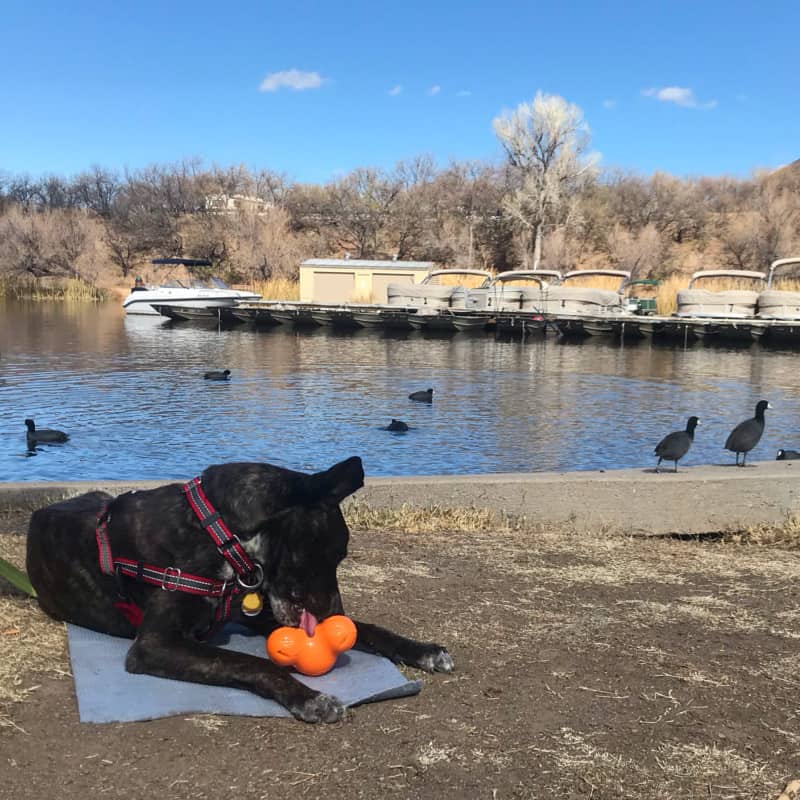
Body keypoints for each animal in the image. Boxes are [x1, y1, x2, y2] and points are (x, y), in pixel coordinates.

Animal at [25, 456, 454, 724]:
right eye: (335, 552)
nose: (334, 616)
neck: (219, 532)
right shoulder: (154, 644)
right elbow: (250, 663)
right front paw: (309, 698)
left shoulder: (262, 611)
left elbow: (371, 629)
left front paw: (423, 650)